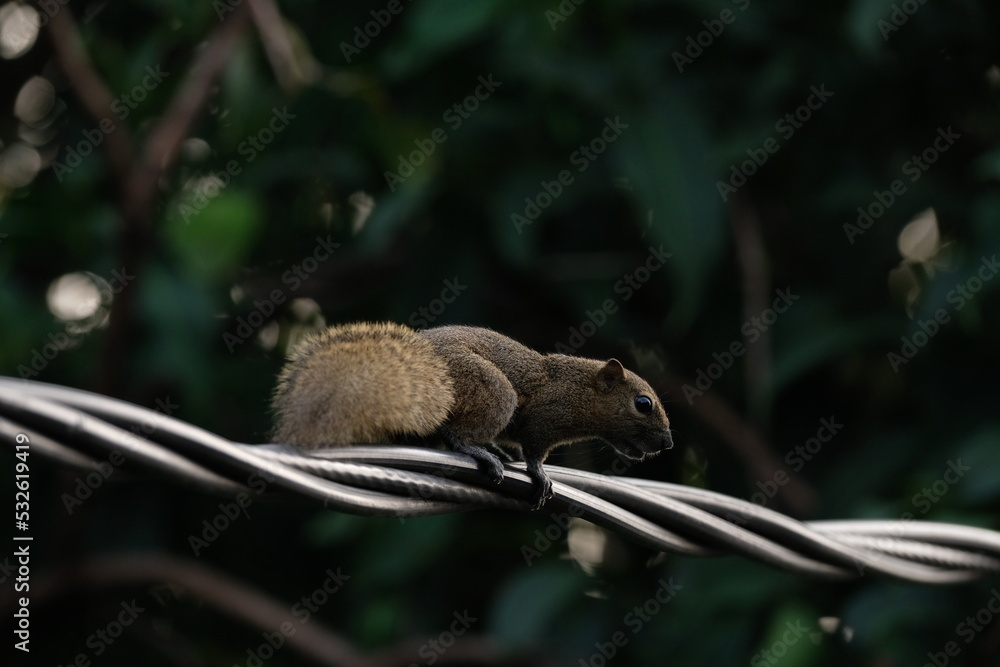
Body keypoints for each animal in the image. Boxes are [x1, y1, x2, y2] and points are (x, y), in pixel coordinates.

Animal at [271, 322, 673, 509]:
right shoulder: (546, 417)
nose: (668, 444)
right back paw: (479, 453)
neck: (580, 390)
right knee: (454, 434)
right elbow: (533, 451)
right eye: (643, 404)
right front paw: (539, 474)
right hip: (492, 390)